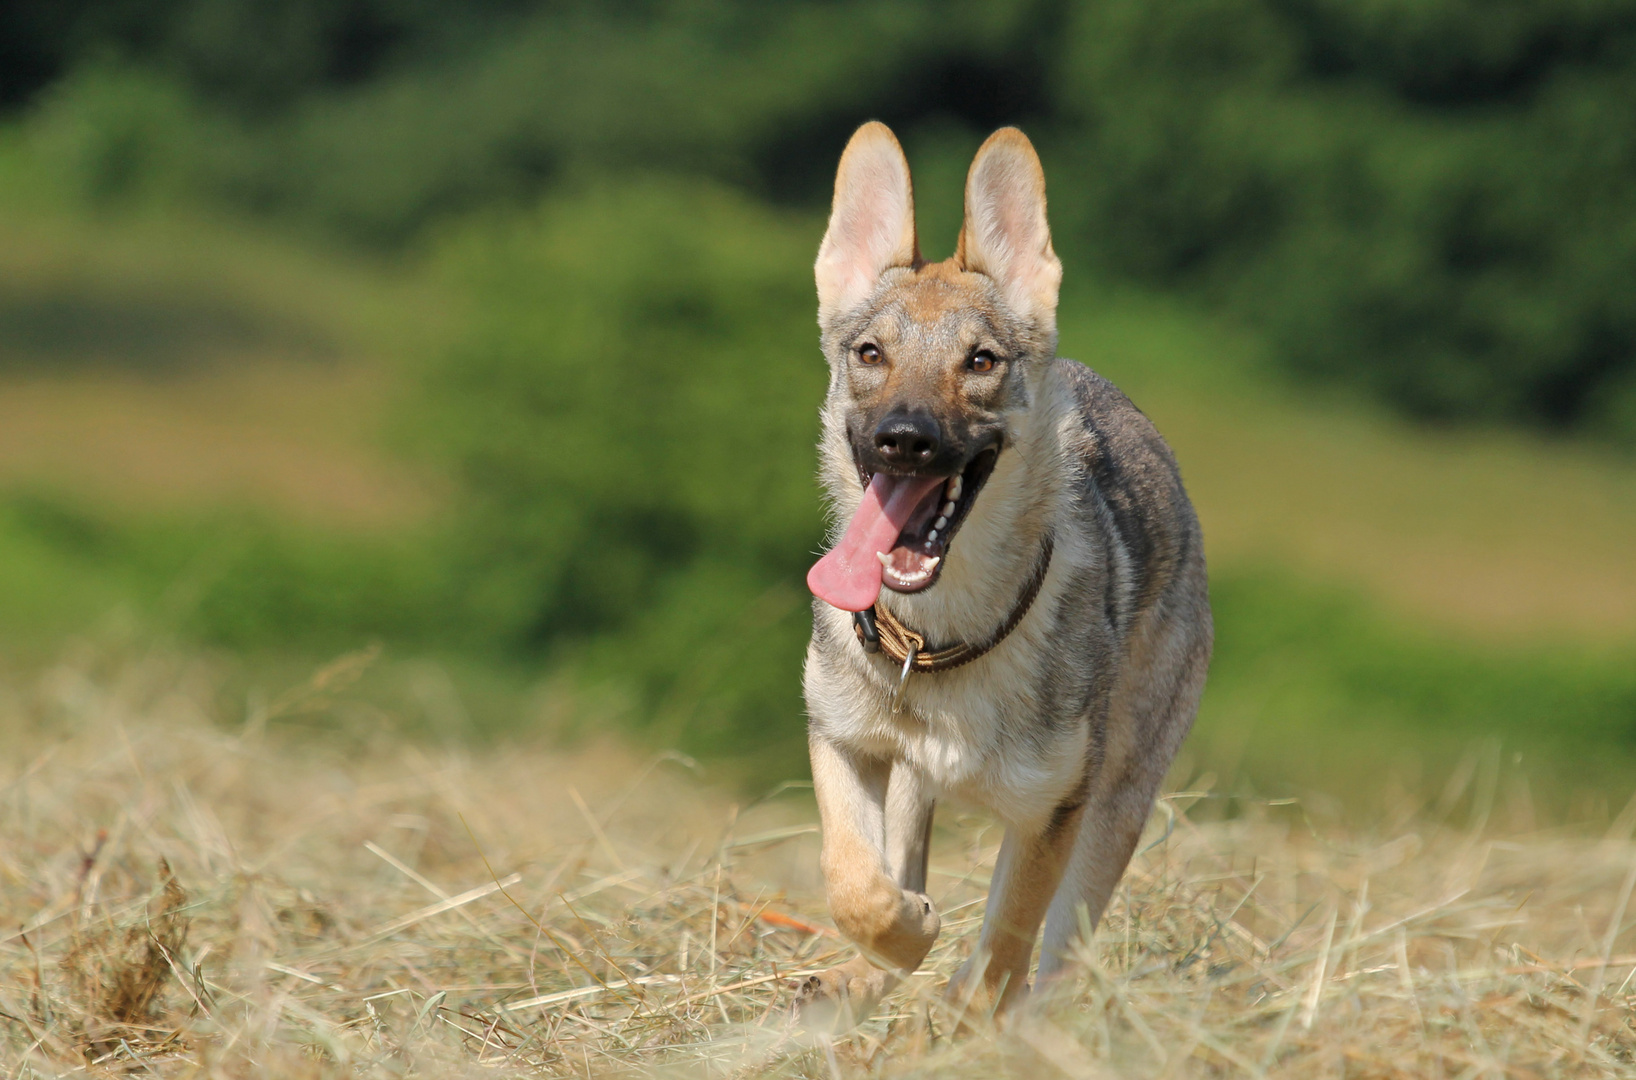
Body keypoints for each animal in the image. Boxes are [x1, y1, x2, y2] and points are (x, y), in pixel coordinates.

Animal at [798, 124, 1210, 1021]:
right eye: (870, 354)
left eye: (980, 361)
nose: (904, 438)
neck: (946, 638)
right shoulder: (840, 741)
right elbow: (854, 884)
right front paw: (903, 935)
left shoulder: (1054, 810)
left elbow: (1005, 943)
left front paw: (960, 1013)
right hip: (914, 783)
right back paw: (865, 971)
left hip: (1116, 809)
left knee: (1055, 956)